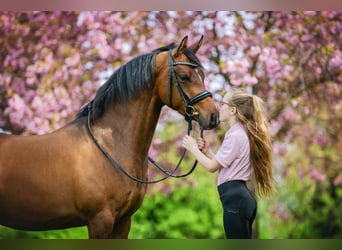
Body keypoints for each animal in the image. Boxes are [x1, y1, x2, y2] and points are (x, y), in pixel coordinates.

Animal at [0, 35, 219, 238]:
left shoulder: (123, 221)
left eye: (202, 74)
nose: (213, 116)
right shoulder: (100, 220)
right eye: (184, 76)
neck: (110, 146)